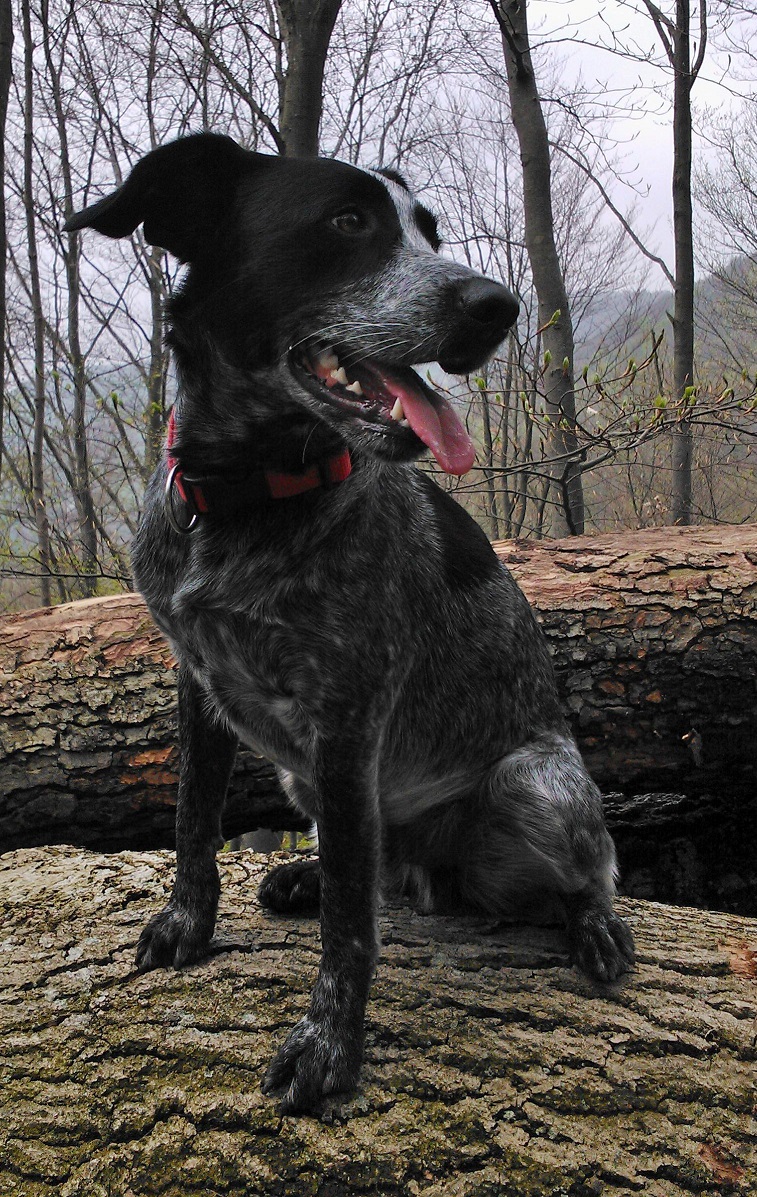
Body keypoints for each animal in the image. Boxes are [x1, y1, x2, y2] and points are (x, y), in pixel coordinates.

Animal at [63, 131, 632, 1110]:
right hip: (314, 785)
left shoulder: (348, 713)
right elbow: (193, 819)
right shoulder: (199, 683)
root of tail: (433, 864)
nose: (496, 306)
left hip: (536, 783)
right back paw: (303, 874)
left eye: (427, 230)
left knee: (575, 872)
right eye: (347, 221)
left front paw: (329, 1044)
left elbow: (348, 927)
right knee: (377, 876)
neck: (248, 501)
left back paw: (592, 925)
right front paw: (187, 923)